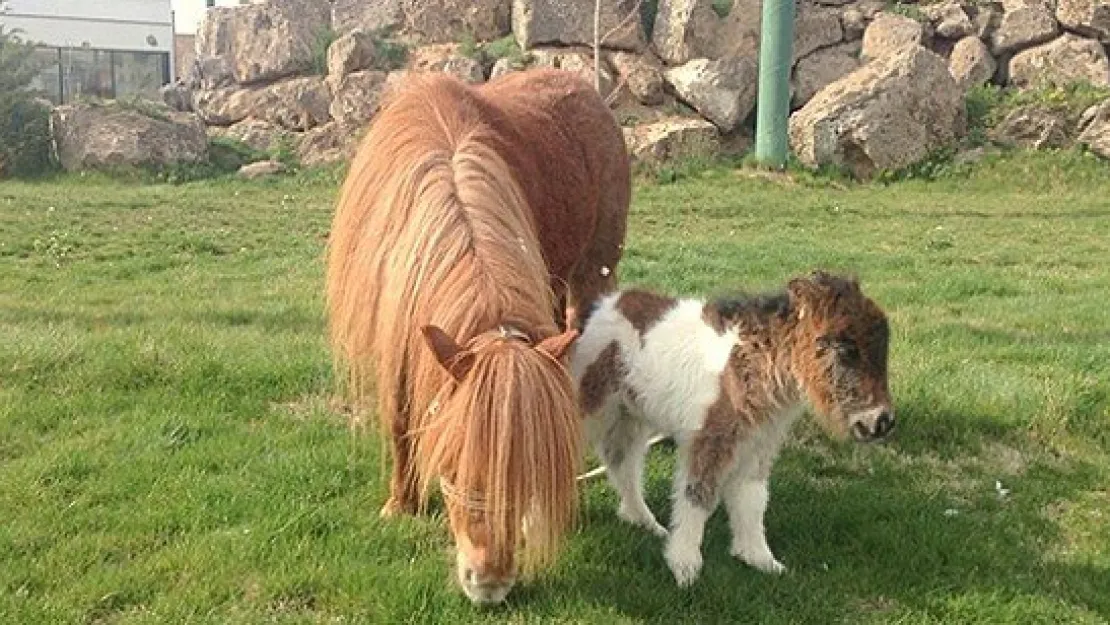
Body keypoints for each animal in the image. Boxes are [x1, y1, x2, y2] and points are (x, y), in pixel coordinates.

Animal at [324, 69, 630, 608]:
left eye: (528, 473)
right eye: (454, 466)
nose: (489, 585)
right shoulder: (396, 341)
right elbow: (401, 415)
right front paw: (401, 502)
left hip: (591, 272)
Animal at [572, 273, 892, 586]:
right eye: (847, 349)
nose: (882, 422)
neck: (747, 368)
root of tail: (599, 308)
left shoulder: (757, 443)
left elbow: (753, 499)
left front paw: (760, 559)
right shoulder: (709, 441)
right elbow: (698, 495)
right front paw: (685, 568)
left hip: (628, 417)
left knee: (622, 465)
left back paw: (644, 522)